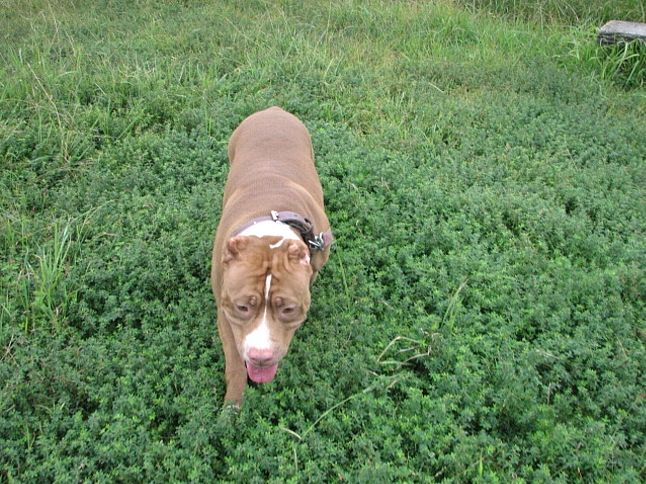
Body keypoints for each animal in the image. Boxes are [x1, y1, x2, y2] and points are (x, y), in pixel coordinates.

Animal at [211, 107, 332, 407]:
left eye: (288, 309)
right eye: (242, 307)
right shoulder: (225, 312)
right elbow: (234, 362)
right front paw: (232, 407)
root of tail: (273, 110)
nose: (261, 357)